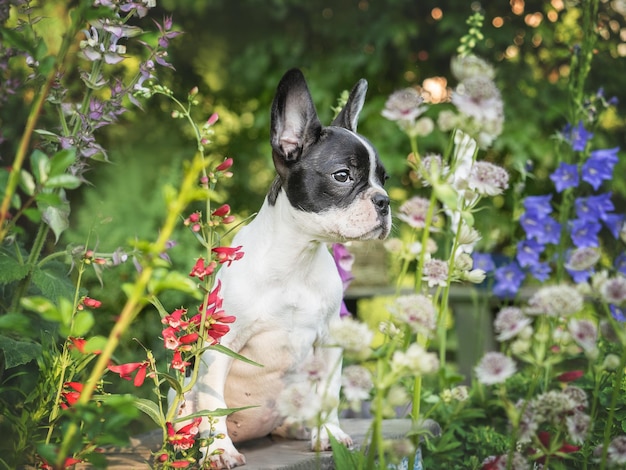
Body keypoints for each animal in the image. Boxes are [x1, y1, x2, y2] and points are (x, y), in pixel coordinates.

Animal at [176, 68, 388, 468]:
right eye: (342, 176)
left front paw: (328, 433)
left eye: (384, 180)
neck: (296, 258)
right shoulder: (221, 344)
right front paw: (219, 450)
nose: (384, 201)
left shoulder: (328, 341)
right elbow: (213, 400)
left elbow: (329, 394)